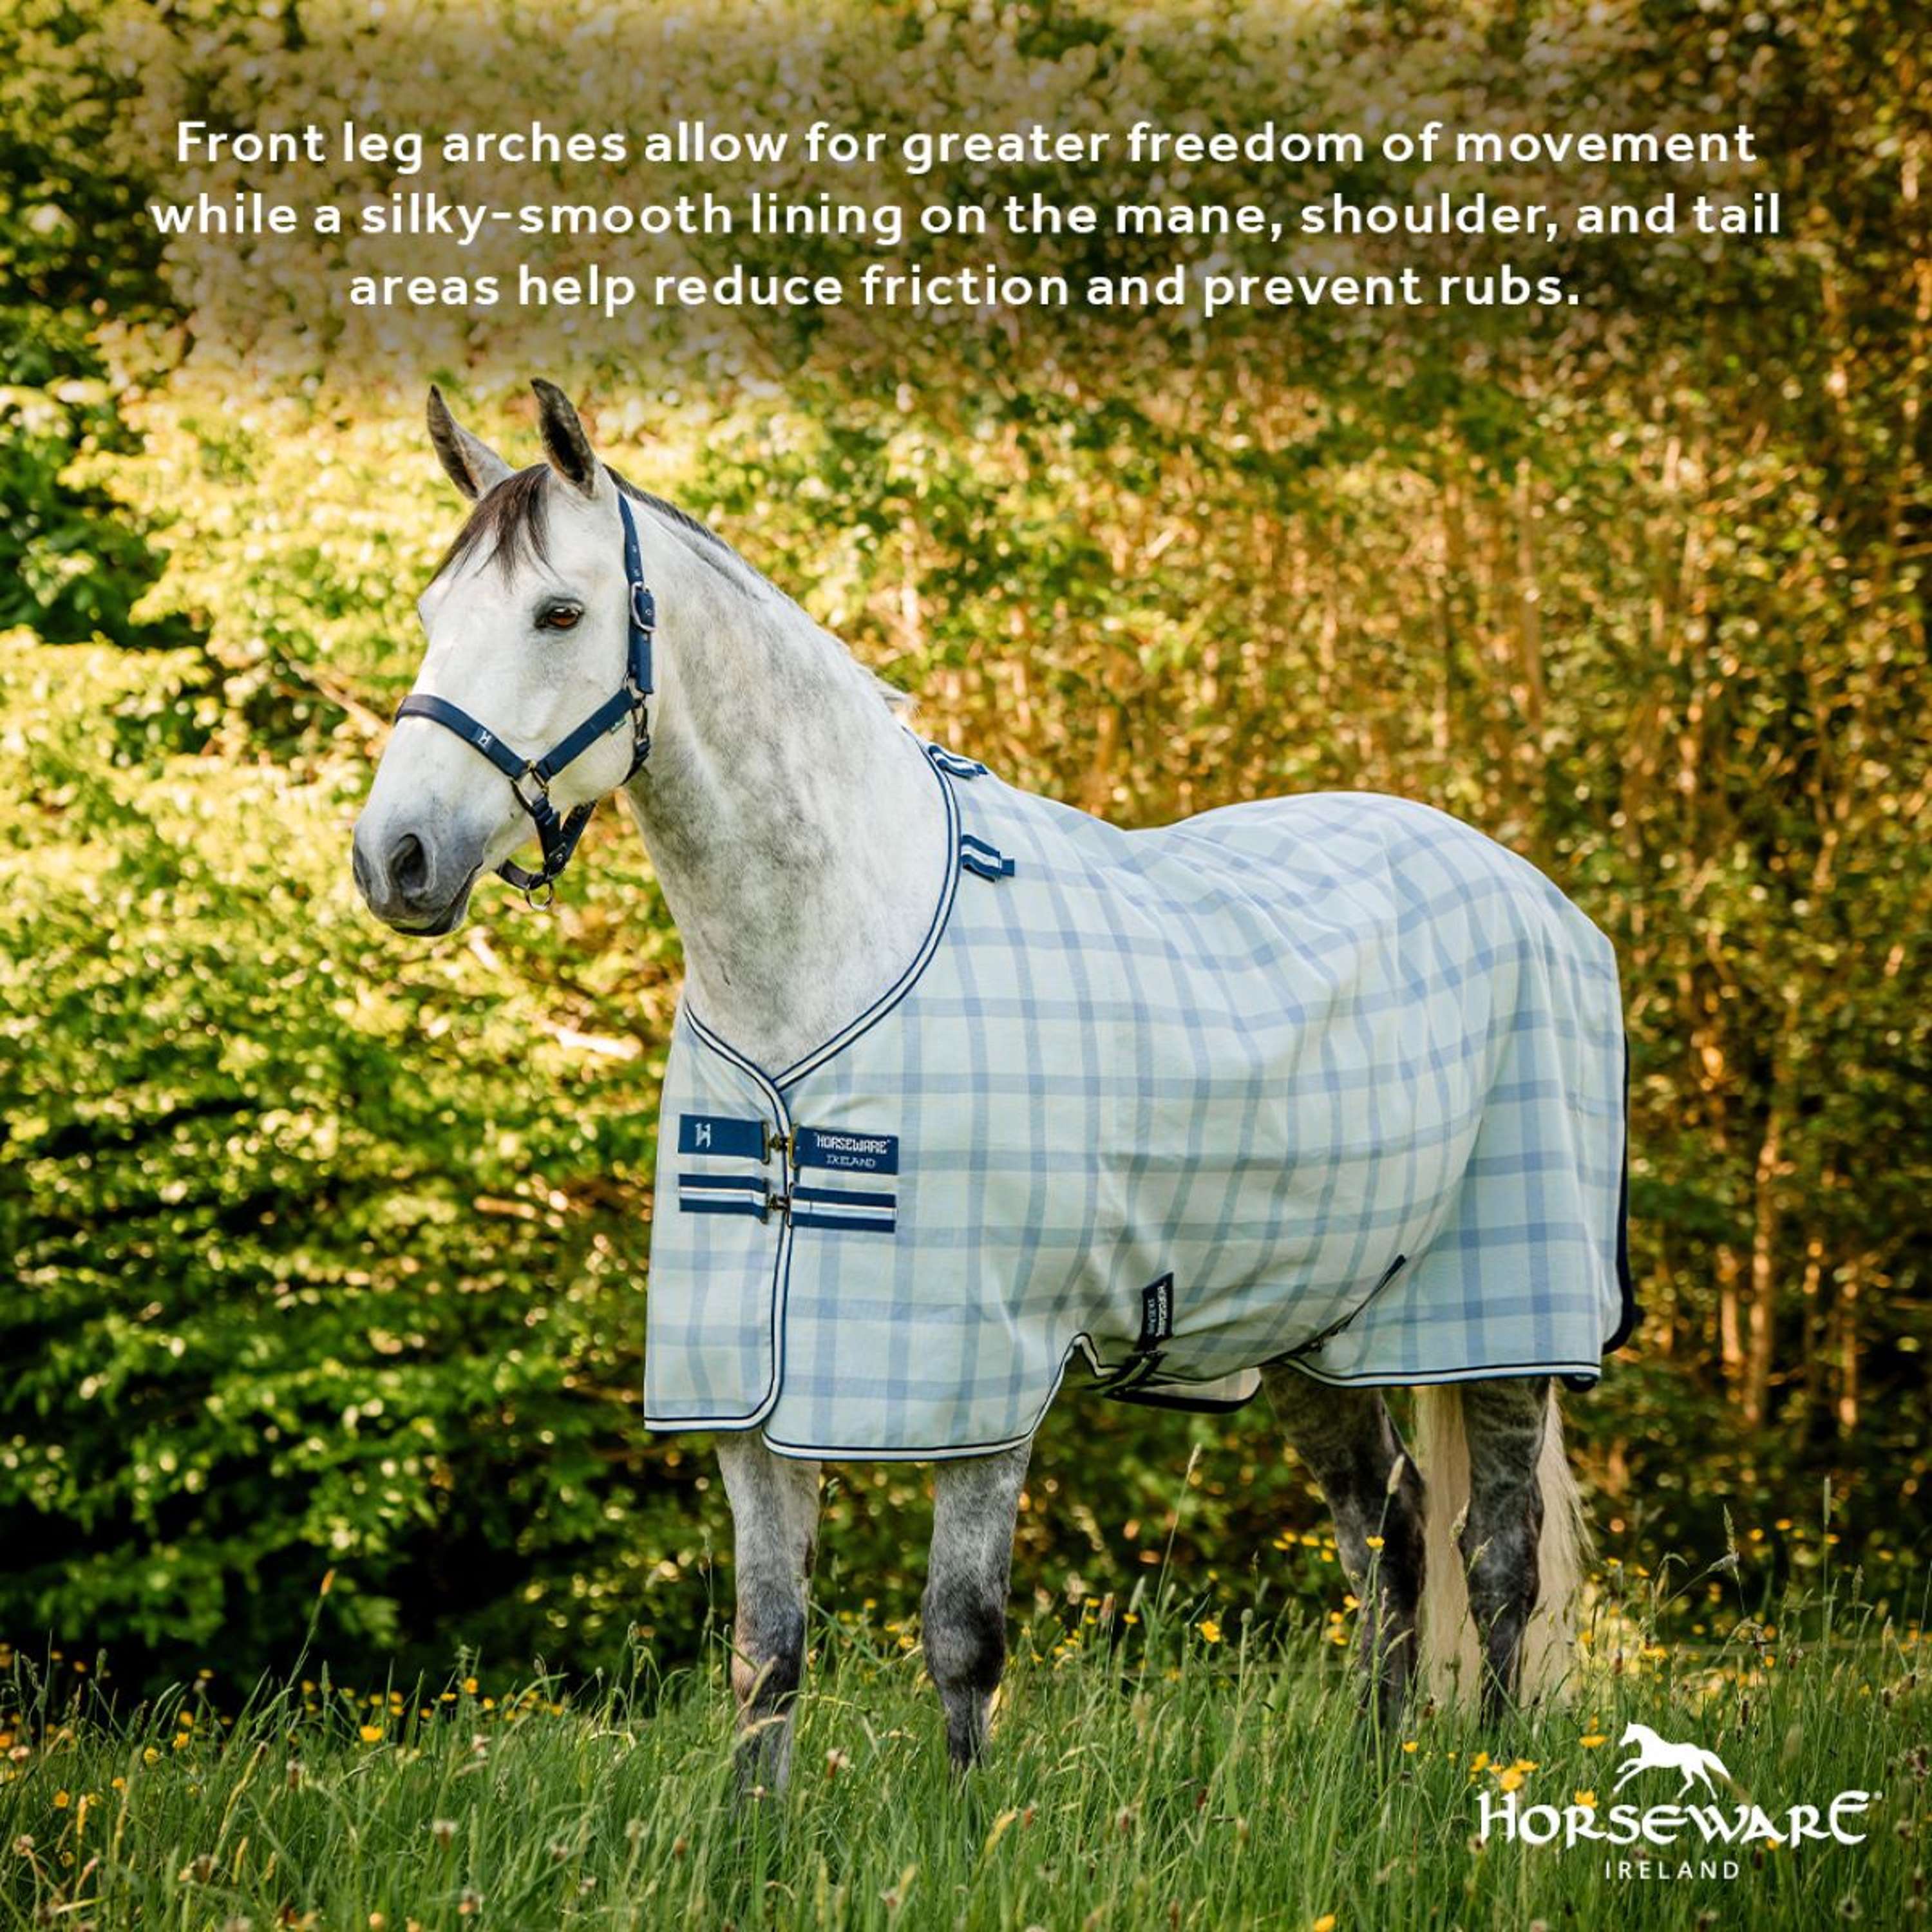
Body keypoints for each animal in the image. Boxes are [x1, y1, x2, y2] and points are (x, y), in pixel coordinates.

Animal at [353, 380, 1634, 1784]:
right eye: (433, 616)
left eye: (559, 614)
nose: (394, 858)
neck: (828, 957)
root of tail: (1526, 886)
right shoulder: (750, 1396)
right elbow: (766, 1654)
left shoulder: (981, 1380)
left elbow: (962, 1639)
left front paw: (971, 1824)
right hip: (1313, 1318)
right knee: (1390, 1535)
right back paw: (1372, 1770)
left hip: (1503, 1327)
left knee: (1497, 1561)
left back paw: (1488, 1778)